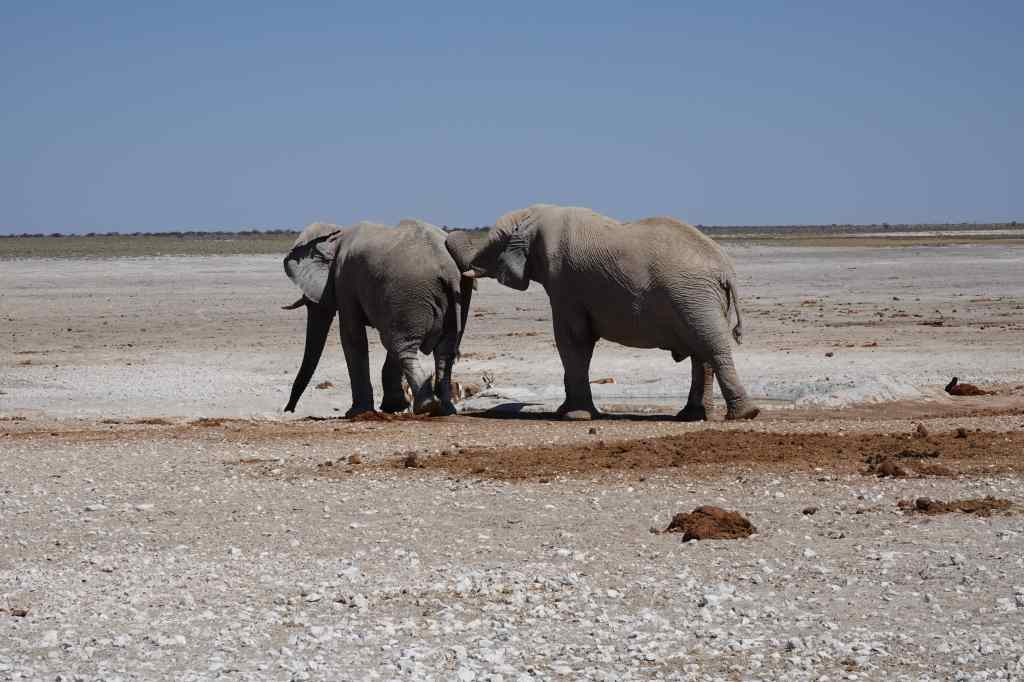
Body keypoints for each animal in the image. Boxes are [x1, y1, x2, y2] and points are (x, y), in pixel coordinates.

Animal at [282, 219, 472, 417]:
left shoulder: (345, 280)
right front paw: (394, 407)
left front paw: (356, 413)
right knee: (440, 349)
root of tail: (449, 269)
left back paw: (426, 406)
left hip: (409, 292)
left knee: (399, 345)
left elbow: (352, 336)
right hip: (454, 293)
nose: (289, 410)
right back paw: (445, 410)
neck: (336, 236)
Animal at [445, 204, 759, 421]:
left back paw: (743, 414)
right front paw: (565, 412)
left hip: (695, 298)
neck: (537, 216)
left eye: (493, 244)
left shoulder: (564, 282)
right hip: (699, 299)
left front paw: (574, 417)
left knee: (712, 348)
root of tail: (726, 269)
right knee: (701, 353)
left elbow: (572, 340)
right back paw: (693, 416)